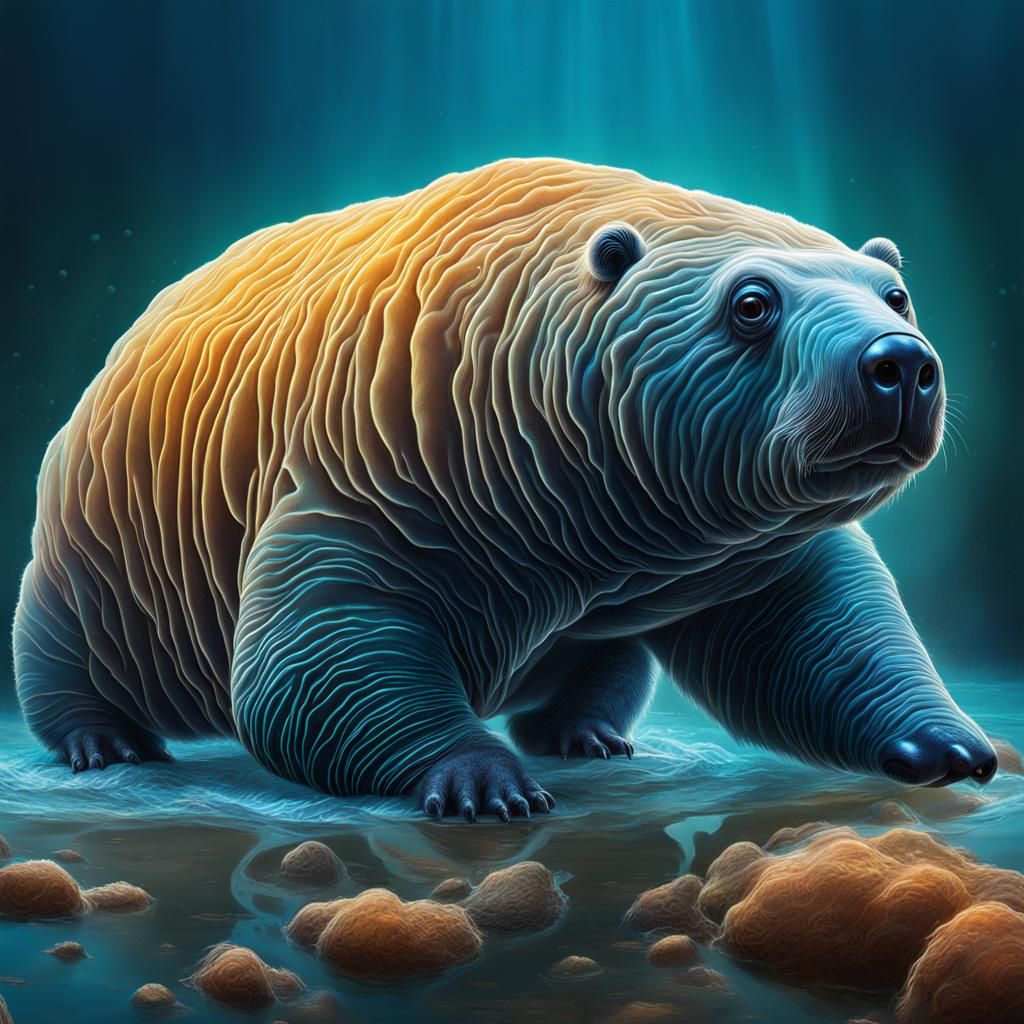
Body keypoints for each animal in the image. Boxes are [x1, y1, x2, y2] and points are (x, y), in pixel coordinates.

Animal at [12, 158, 997, 820]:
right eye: (752, 301)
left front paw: (948, 740)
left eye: (895, 292)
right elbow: (315, 654)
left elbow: (816, 626)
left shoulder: (727, 546)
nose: (899, 364)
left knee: (607, 658)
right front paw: (481, 779)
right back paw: (103, 741)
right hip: (96, 531)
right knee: (63, 638)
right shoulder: (370, 470)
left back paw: (586, 730)